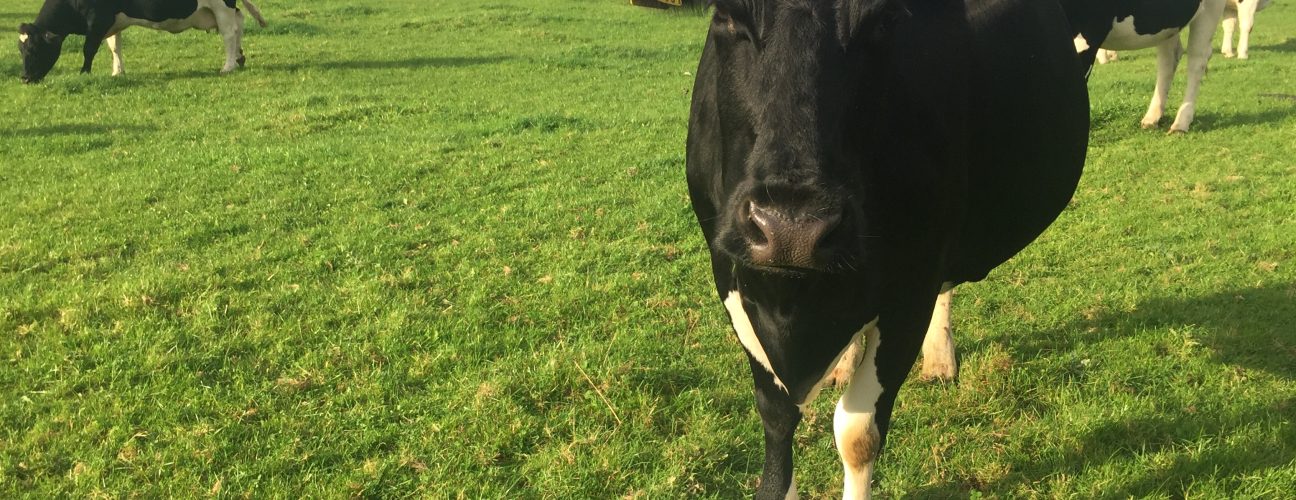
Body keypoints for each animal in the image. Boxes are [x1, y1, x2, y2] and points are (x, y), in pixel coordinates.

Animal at [17, 0, 267, 83]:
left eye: (35, 48)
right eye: (20, 50)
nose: (25, 78)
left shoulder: (97, 20)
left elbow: (89, 49)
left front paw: (84, 72)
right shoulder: (112, 22)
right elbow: (114, 47)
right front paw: (117, 72)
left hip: (221, 7)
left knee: (229, 32)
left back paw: (228, 66)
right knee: (239, 23)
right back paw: (239, 57)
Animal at [685, 0, 1089, 498]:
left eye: (883, 20)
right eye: (726, 15)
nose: (791, 229)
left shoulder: (912, 285)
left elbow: (857, 432)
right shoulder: (727, 271)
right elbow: (776, 416)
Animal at [1063, 0, 1227, 133]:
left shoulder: (1088, 32)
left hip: (1210, 8)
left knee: (1197, 58)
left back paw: (1180, 123)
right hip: (1167, 24)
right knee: (1169, 58)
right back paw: (1152, 118)